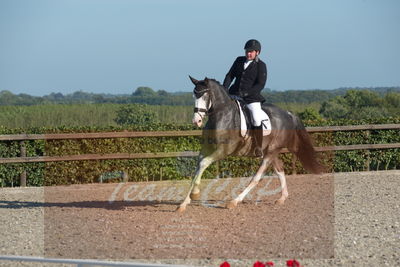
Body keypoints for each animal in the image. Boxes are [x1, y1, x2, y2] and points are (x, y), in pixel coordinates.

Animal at [178, 76, 324, 213]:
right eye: (194, 96)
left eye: (204, 96)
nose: (196, 121)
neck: (221, 115)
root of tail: (287, 114)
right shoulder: (206, 149)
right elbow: (198, 166)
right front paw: (185, 203)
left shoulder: (223, 150)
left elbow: (203, 163)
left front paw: (194, 195)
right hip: (270, 151)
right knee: (279, 168)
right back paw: (282, 198)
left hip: (271, 151)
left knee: (257, 177)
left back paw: (234, 201)